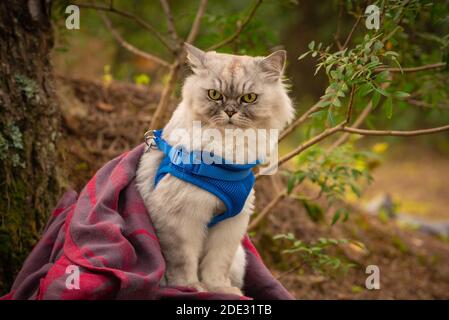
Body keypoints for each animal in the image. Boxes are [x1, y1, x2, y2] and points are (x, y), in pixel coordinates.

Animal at [135, 43, 294, 296]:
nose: (229, 112)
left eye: (249, 98)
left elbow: (216, 264)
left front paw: (219, 289)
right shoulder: (181, 219)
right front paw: (191, 288)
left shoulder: (230, 226)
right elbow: (183, 262)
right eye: (214, 95)